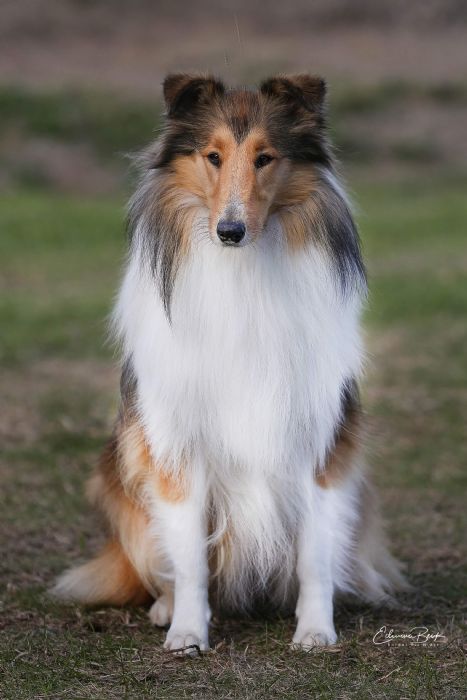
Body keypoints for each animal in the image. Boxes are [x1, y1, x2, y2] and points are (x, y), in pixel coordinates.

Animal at [54, 73, 406, 653]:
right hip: (120, 476)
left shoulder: (320, 442)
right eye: (213, 156)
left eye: (265, 158)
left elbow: (315, 555)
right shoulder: (177, 444)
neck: (243, 273)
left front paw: (315, 630)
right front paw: (188, 633)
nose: (230, 231)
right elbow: (190, 559)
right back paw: (164, 608)